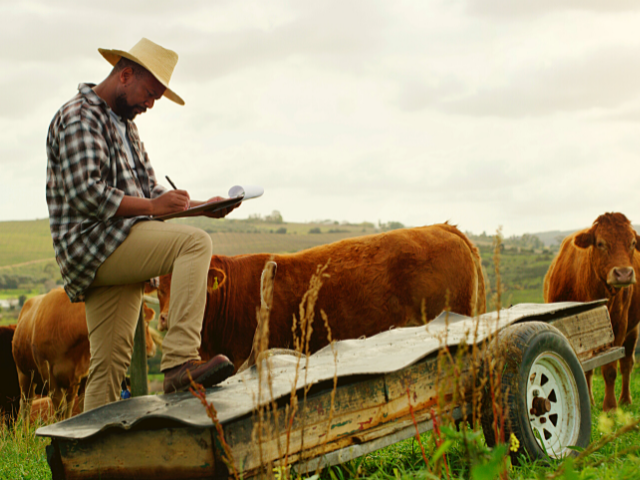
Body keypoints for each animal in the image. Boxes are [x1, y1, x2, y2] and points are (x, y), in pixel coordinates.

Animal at [12, 286, 158, 422]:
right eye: (144, 321)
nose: (152, 348)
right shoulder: (47, 372)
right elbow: (59, 409)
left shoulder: (85, 375)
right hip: (24, 374)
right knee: (26, 405)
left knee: (69, 404)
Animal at [544, 212, 640, 410]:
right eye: (601, 243)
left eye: (633, 243)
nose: (624, 273)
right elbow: (584, 369)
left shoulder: (618, 326)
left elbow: (610, 368)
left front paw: (610, 406)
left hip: (633, 329)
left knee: (627, 363)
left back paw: (625, 400)